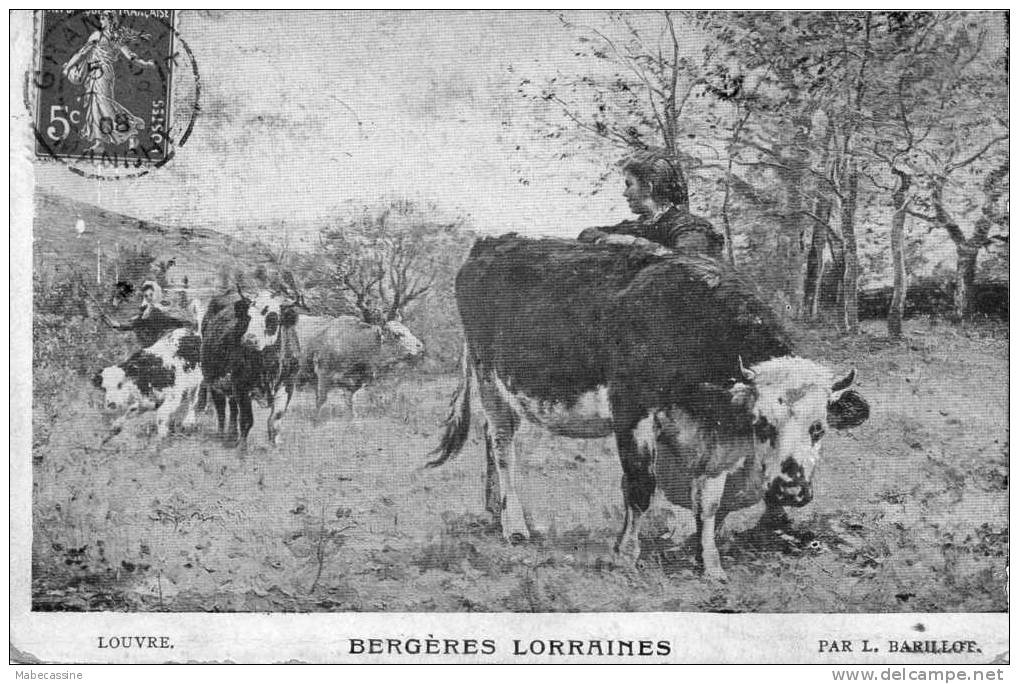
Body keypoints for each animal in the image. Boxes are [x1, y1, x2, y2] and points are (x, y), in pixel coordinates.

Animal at [199, 289, 299, 448]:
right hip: (213, 380)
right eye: (248, 316)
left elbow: (275, 418)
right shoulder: (241, 386)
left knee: (233, 408)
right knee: (221, 410)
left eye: (272, 318)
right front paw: (242, 448)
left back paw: (232, 436)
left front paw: (275, 445)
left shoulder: (289, 383)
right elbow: (246, 420)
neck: (268, 365)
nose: (249, 339)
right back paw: (222, 435)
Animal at [427, 235, 868, 579]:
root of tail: (491, 241)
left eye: (819, 428)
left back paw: (493, 510)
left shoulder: (714, 444)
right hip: (489, 378)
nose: (790, 489)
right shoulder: (631, 410)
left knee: (489, 439)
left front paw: (710, 566)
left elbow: (708, 502)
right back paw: (514, 526)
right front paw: (625, 556)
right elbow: (640, 487)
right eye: (762, 423)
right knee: (502, 446)